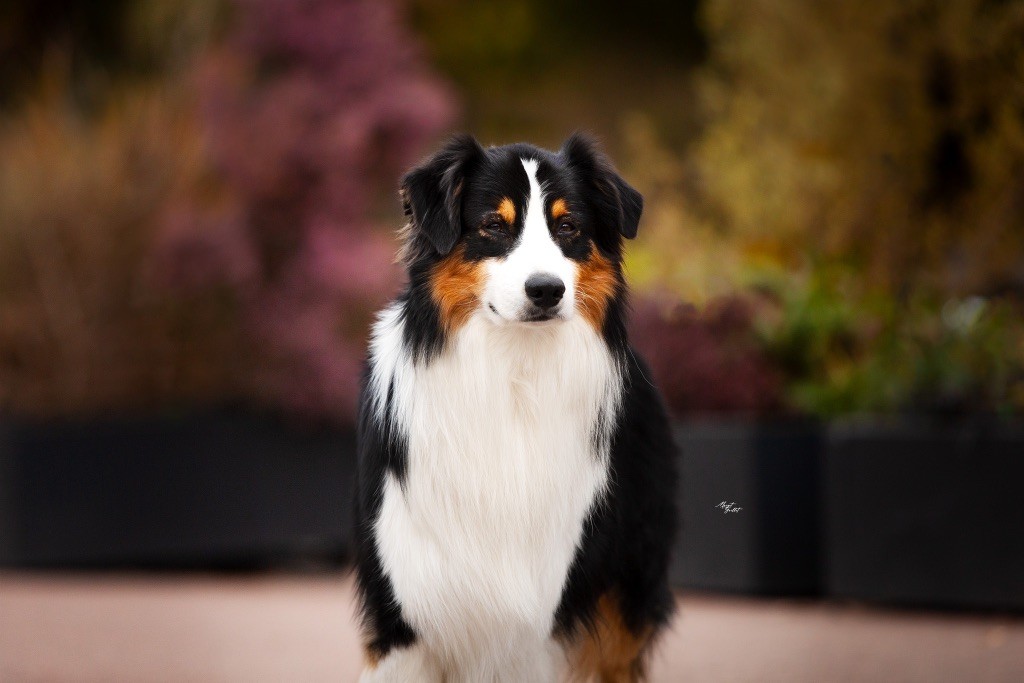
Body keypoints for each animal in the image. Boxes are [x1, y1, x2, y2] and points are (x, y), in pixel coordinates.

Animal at [356, 133, 675, 683]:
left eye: (568, 226)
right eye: (493, 225)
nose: (546, 290)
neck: (513, 373)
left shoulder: (547, 604)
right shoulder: (404, 604)